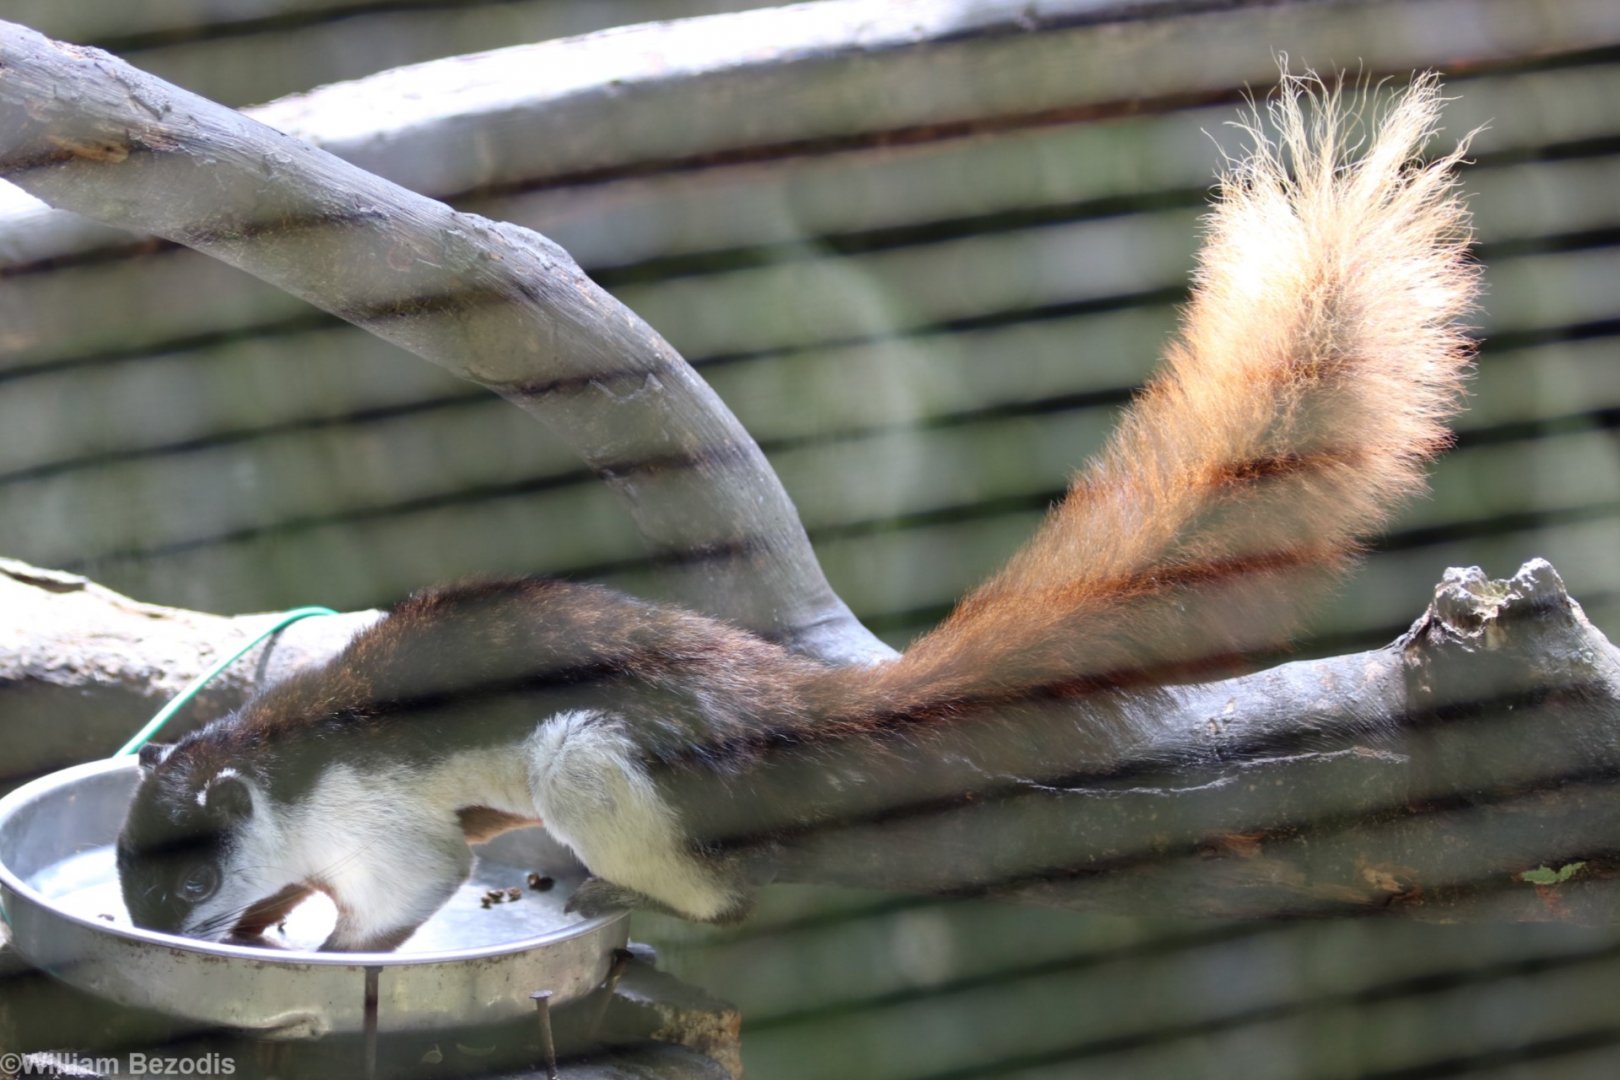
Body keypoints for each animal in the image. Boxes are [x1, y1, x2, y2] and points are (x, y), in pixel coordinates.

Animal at [117, 75, 1477, 951]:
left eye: (177, 894)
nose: (182, 930)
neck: (274, 771)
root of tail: (787, 705)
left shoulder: (374, 825)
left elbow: (407, 896)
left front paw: (325, 957)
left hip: (595, 762)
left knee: (697, 875)